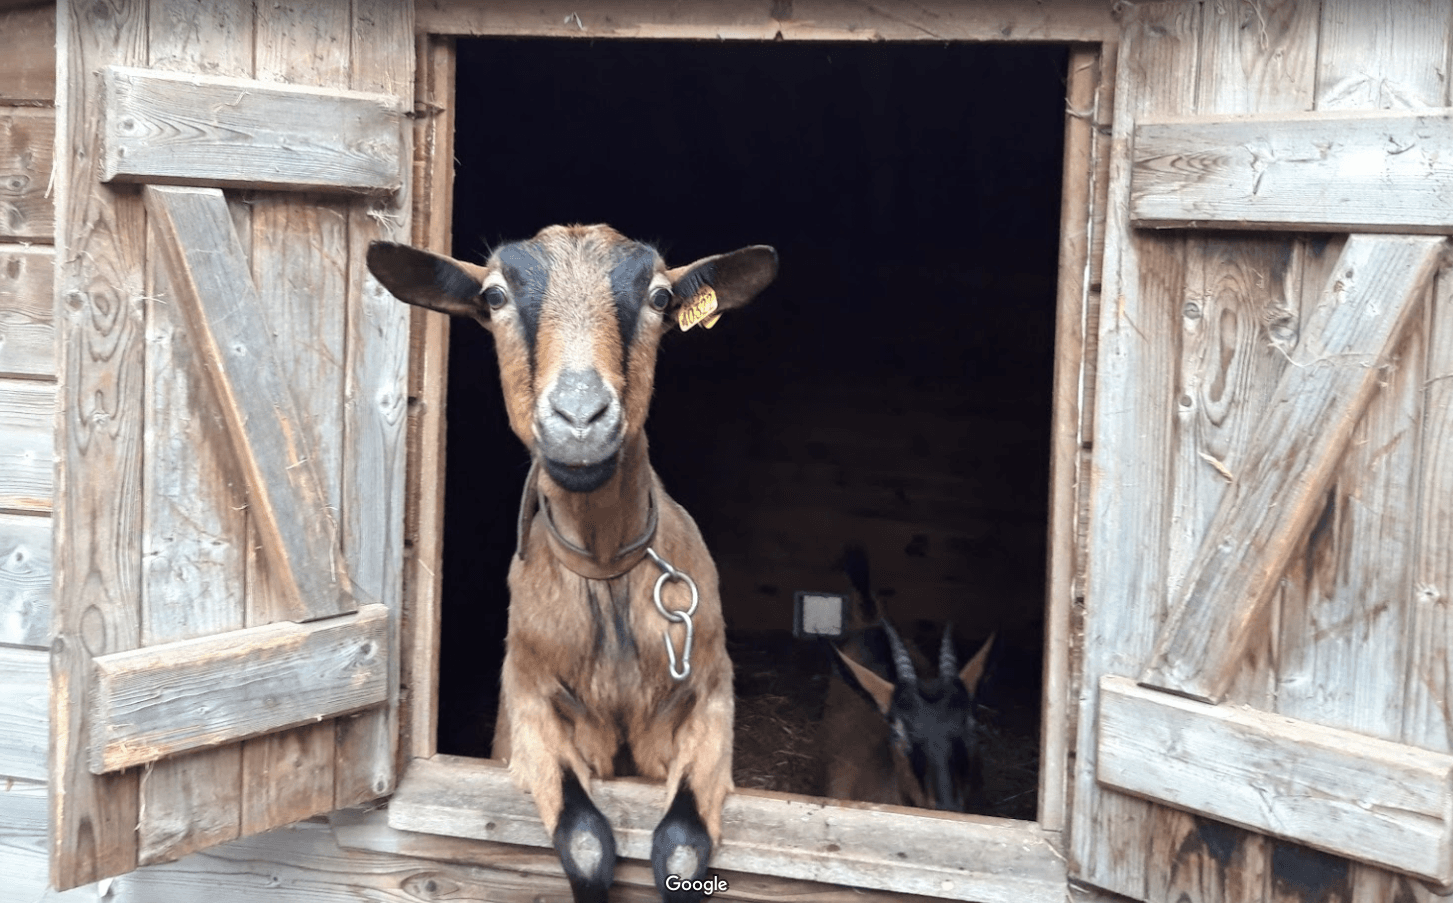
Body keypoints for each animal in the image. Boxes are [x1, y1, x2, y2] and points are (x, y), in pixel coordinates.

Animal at [366, 225, 777, 903]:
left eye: (661, 298)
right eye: (495, 296)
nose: (580, 420)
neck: (607, 569)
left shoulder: (713, 696)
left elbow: (682, 849)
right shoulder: (529, 704)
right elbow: (586, 843)